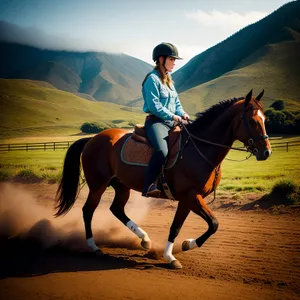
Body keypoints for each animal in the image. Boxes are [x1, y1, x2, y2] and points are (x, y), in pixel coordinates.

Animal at [54, 89, 272, 270]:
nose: (266, 152)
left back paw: (145, 240)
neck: (197, 149)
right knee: (88, 211)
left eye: (265, 119)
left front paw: (185, 245)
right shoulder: (189, 196)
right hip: (98, 185)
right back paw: (94, 247)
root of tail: (92, 138)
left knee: (116, 209)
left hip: (121, 185)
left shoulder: (191, 199)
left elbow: (205, 225)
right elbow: (196, 225)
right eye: (252, 121)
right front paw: (173, 255)